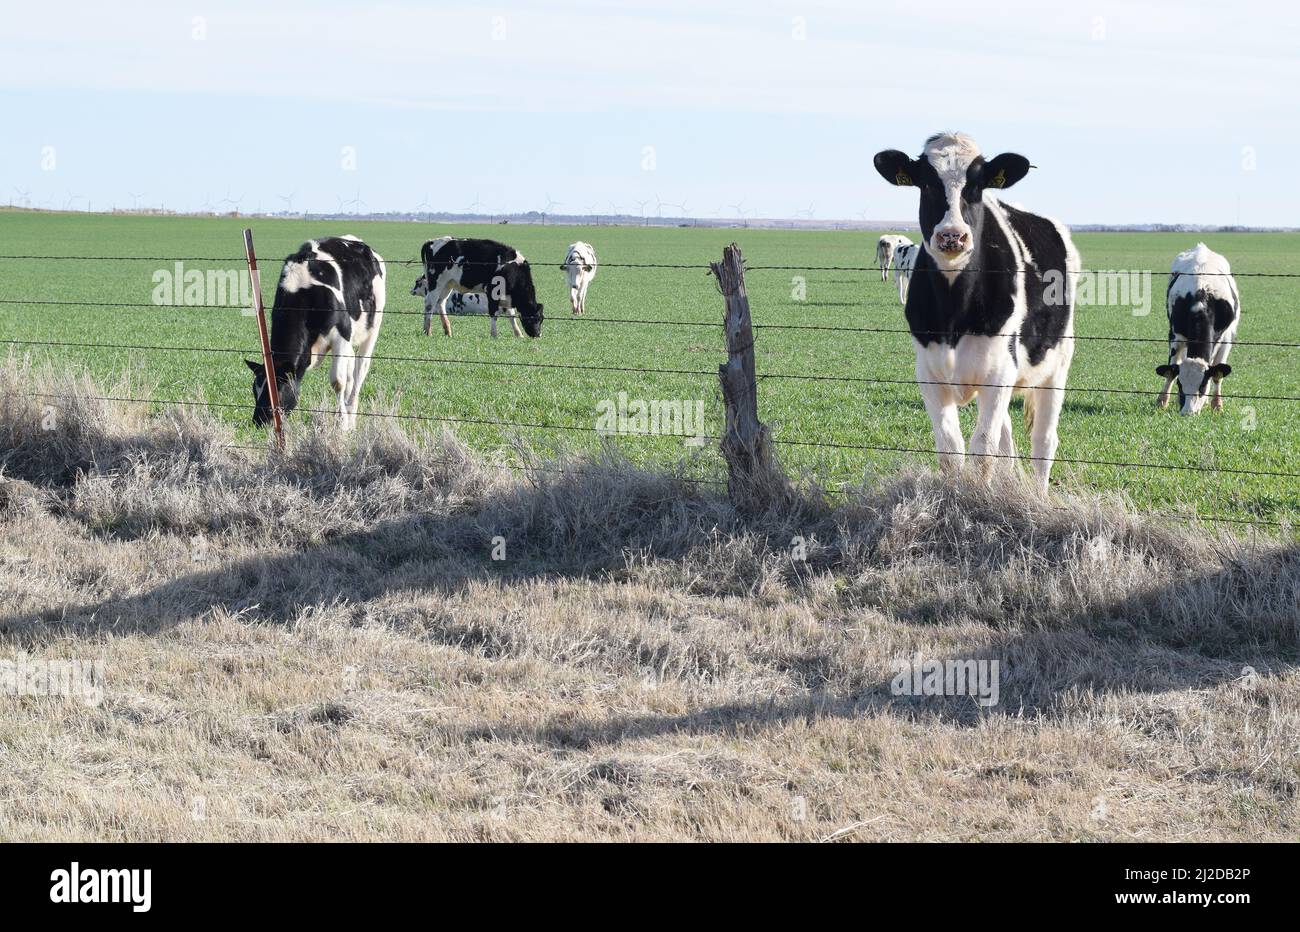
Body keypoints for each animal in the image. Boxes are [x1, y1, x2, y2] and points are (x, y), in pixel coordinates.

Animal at [244, 236, 382, 431]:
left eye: (277, 389)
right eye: (254, 390)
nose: (259, 421)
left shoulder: (342, 334)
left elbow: (338, 381)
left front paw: (343, 425)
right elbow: (343, 379)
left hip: (372, 328)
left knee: (360, 369)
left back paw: (352, 417)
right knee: (351, 370)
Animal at [878, 135, 1081, 493]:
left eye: (977, 186)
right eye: (926, 183)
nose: (952, 235)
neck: (953, 309)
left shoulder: (998, 374)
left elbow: (983, 452)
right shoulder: (929, 374)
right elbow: (952, 452)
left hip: (1057, 365)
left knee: (1043, 441)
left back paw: (1040, 495)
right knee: (1008, 442)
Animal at [1159, 241, 1237, 413]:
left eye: (1203, 385)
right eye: (1180, 385)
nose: (1188, 412)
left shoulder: (1226, 338)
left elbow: (1217, 374)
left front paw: (1216, 404)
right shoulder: (1175, 334)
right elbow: (1170, 371)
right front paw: (1162, 401)